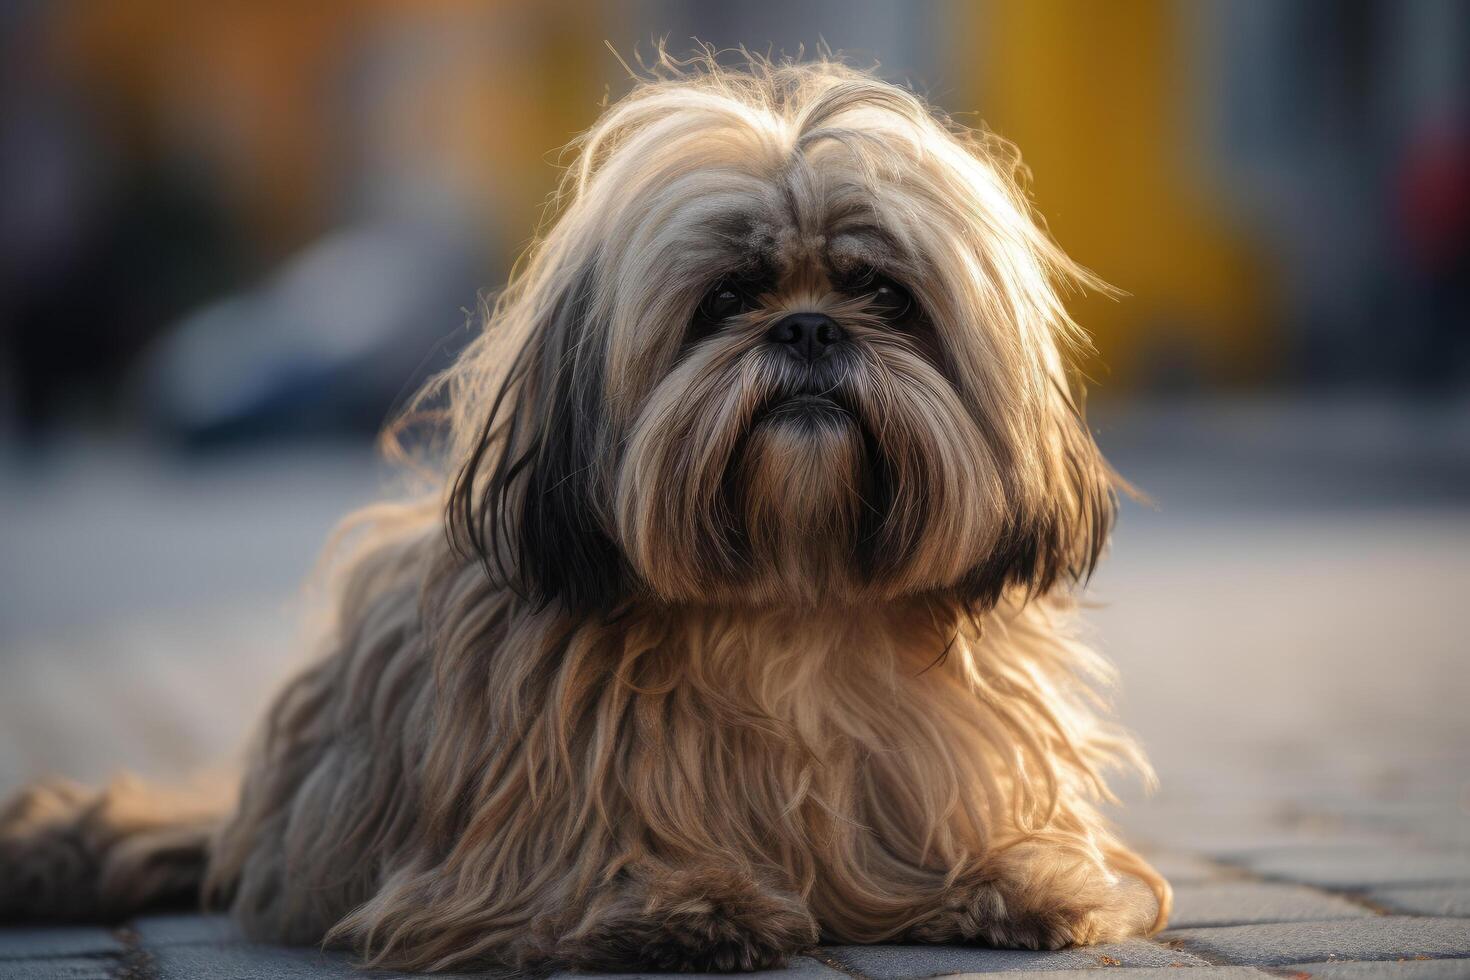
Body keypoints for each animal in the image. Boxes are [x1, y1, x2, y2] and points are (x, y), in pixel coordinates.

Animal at [0, 55, 1170, 975]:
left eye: (882, 293)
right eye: (726, 298)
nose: (805, 328)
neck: (789, 595)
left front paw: (1017, 875)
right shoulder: (516, 827)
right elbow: (583, 863)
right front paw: (676, 898)